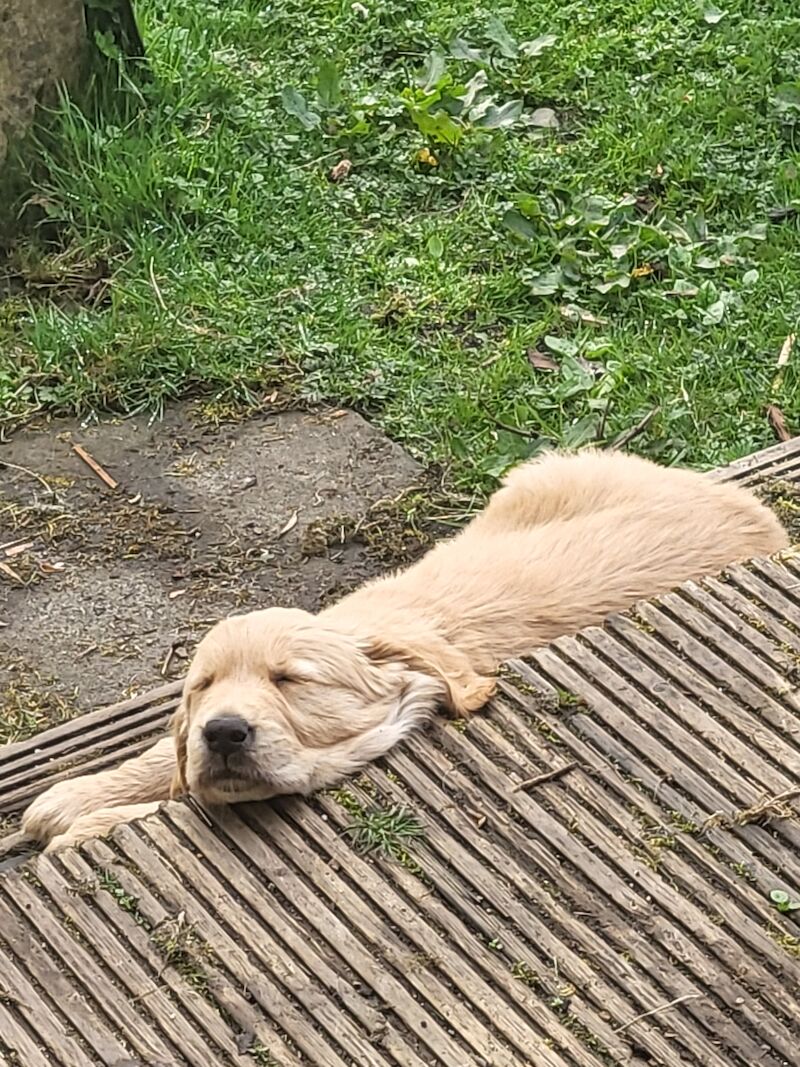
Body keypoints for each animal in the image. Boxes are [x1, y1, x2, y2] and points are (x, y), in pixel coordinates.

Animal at [20, 450, 789, 849]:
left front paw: (84, 823)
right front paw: (74, 795)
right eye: (202, 687)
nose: (225, 732)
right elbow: (169, 760)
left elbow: (198, 799)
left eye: (292, 680)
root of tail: (752, 510)